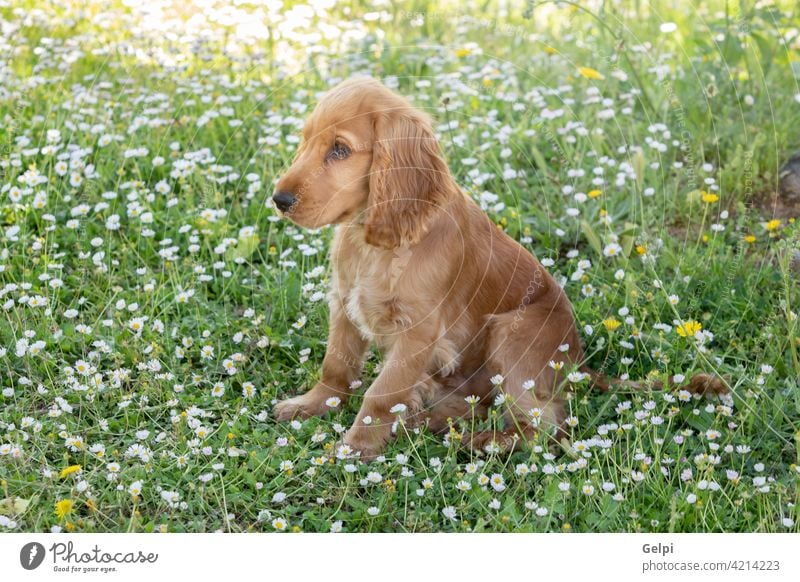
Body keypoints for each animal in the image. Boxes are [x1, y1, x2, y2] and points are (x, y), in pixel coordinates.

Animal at [270, 77, 724, 460]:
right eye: (305, 141)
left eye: (341, 149)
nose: (279, 199)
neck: (375, 241)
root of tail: (578, 363)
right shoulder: (344, 304)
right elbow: (336, 366)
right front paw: (311, 404)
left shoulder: (417, 330)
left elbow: (382, 392)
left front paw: (357, 445)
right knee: (476, 406)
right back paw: (428, 421)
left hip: (513, 336)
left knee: (546, 425)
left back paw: (481, 441)